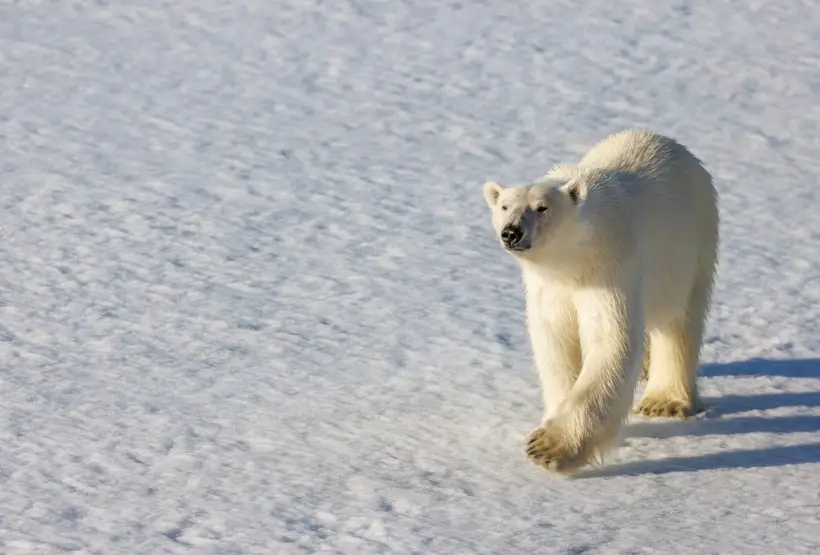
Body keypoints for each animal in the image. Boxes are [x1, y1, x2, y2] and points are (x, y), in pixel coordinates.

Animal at [484, 130, 720, 474]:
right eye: (504, 206)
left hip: (691, 245)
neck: (571, 261)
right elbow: (555, 339)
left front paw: (548, 447)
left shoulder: (609, 265)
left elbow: (610, 340)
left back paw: (664, 401)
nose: (512, 232)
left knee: (679, 322)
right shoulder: (550, 287)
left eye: (542, 207)